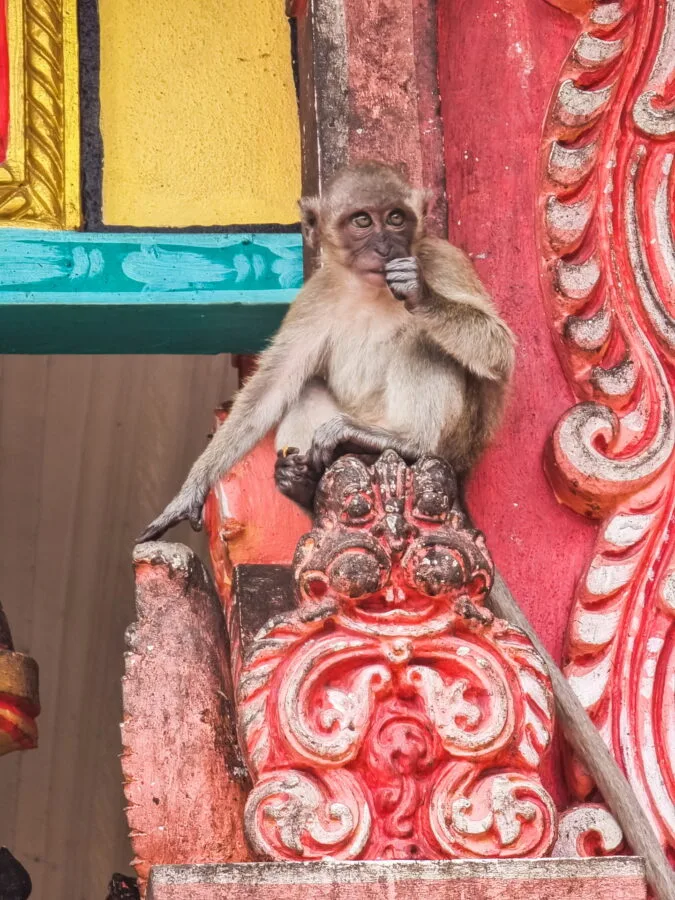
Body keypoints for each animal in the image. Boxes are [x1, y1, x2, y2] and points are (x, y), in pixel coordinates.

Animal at [138, 162, 515, 543]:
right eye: (362, 221)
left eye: (396, 218)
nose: (386, 247)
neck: (370, 289)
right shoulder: (315, 295)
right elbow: (272, 387)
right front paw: (192, 489)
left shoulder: (443, 260)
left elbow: (499, 351)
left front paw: (419, 292)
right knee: (305, 389)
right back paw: (303, 483)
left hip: (457, 442)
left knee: (421, 339)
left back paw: (410, 442)